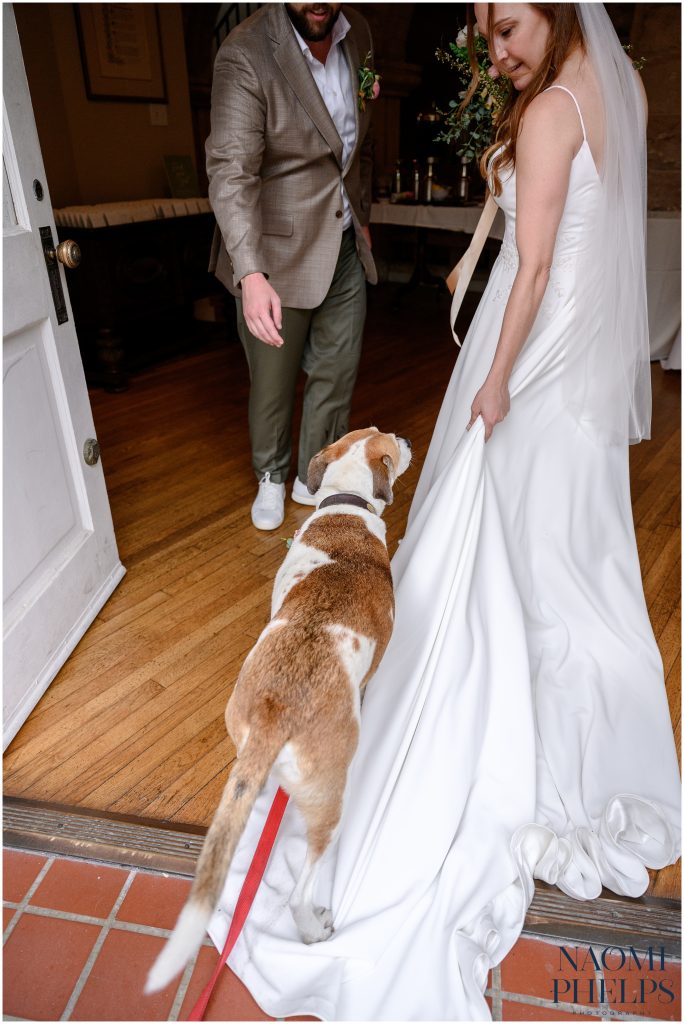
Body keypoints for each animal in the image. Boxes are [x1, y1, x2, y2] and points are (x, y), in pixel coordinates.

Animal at [145, 425, 411, 991]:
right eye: (390, 442)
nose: (404, 437)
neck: (345, 504)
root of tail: (276, 710)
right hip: (331, 805)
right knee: (299, 890)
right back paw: (313, 928)